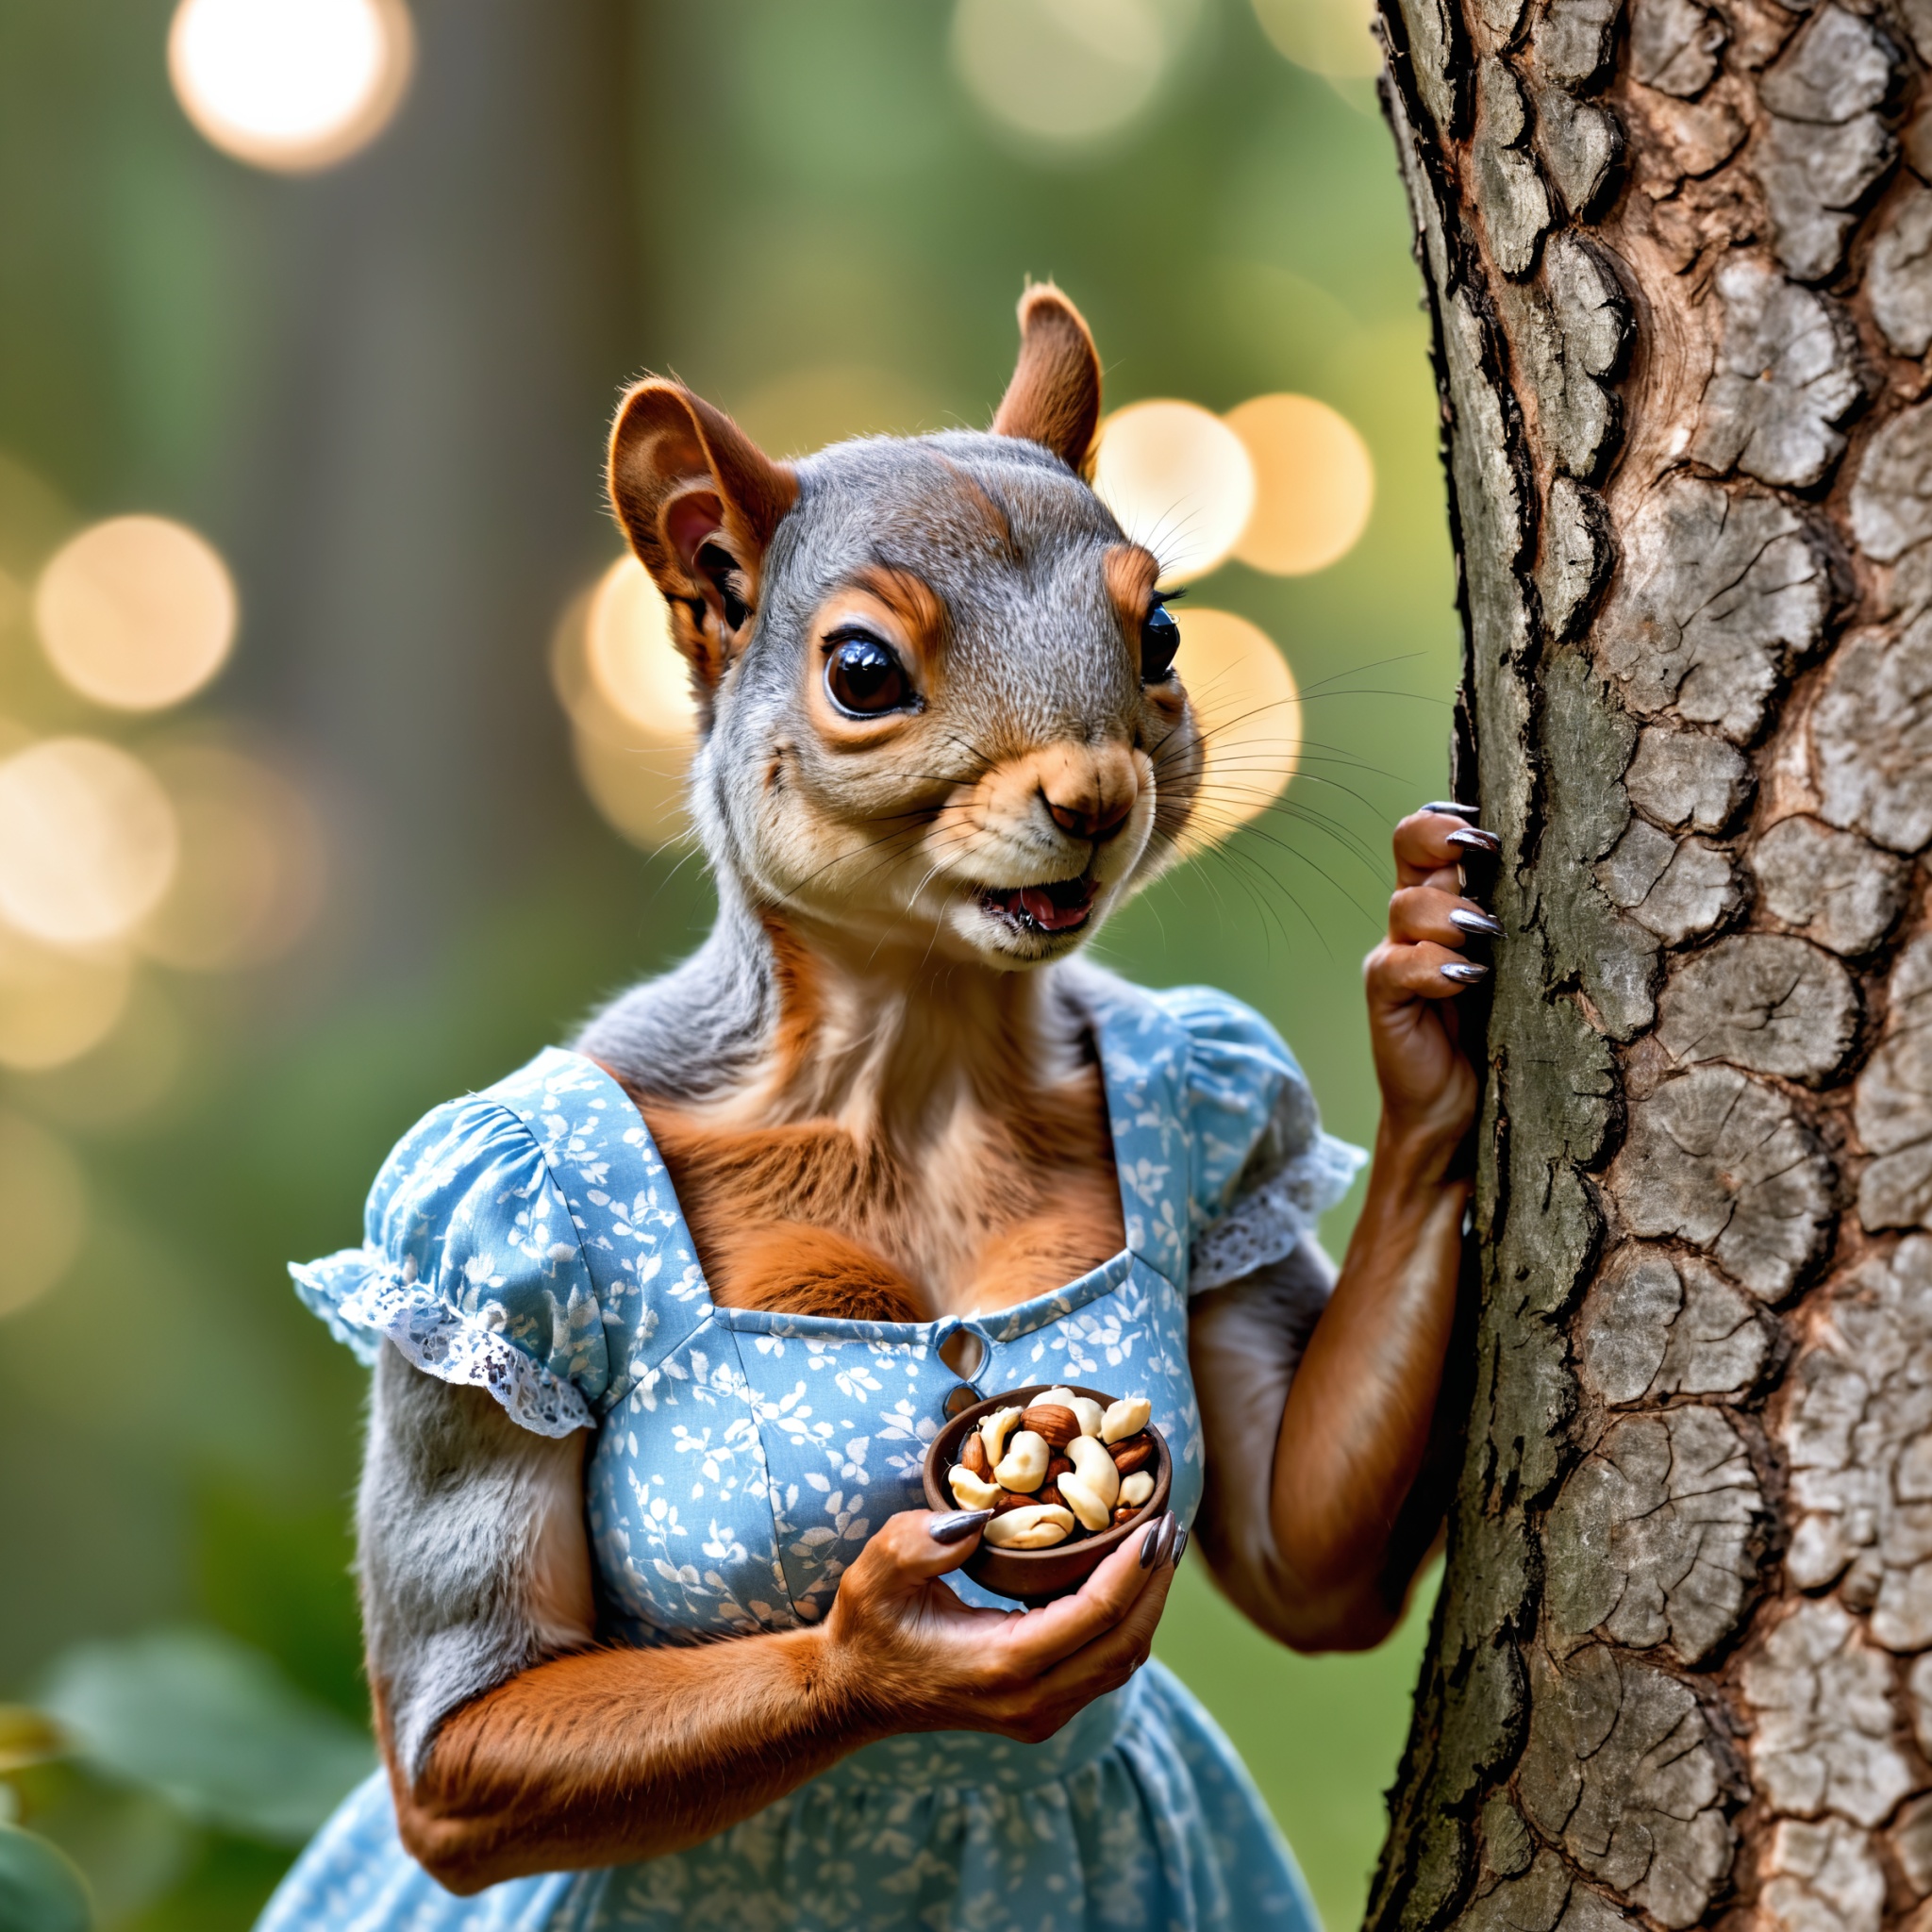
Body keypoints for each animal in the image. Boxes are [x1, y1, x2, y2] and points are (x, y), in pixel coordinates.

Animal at [340, 286, 1487, 1897]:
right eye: (864, 673)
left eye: (1161, 630)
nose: (1094, 797)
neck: (923, 1054)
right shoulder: (472, 1256)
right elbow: (457, 1727)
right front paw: (889, 1657)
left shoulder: (1232, 1139)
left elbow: (1300, 1553)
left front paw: (1424, 972)